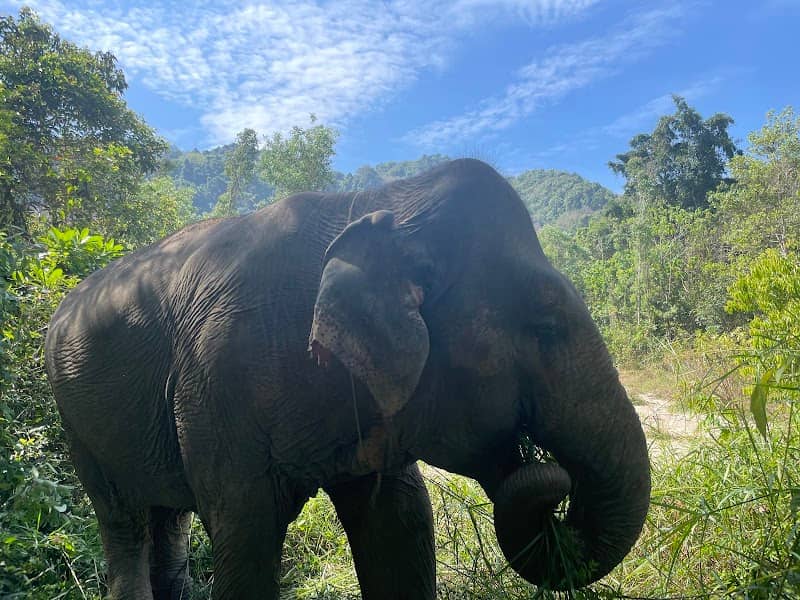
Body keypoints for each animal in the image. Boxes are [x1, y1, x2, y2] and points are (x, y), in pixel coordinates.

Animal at [45, 158, 650, 599]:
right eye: (547, 327)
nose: (550, 476)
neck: (383, 207)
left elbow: (401, 522)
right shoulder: (220, 387)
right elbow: (244, 533)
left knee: (167, 520)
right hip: (75, 420)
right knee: (123, 522)